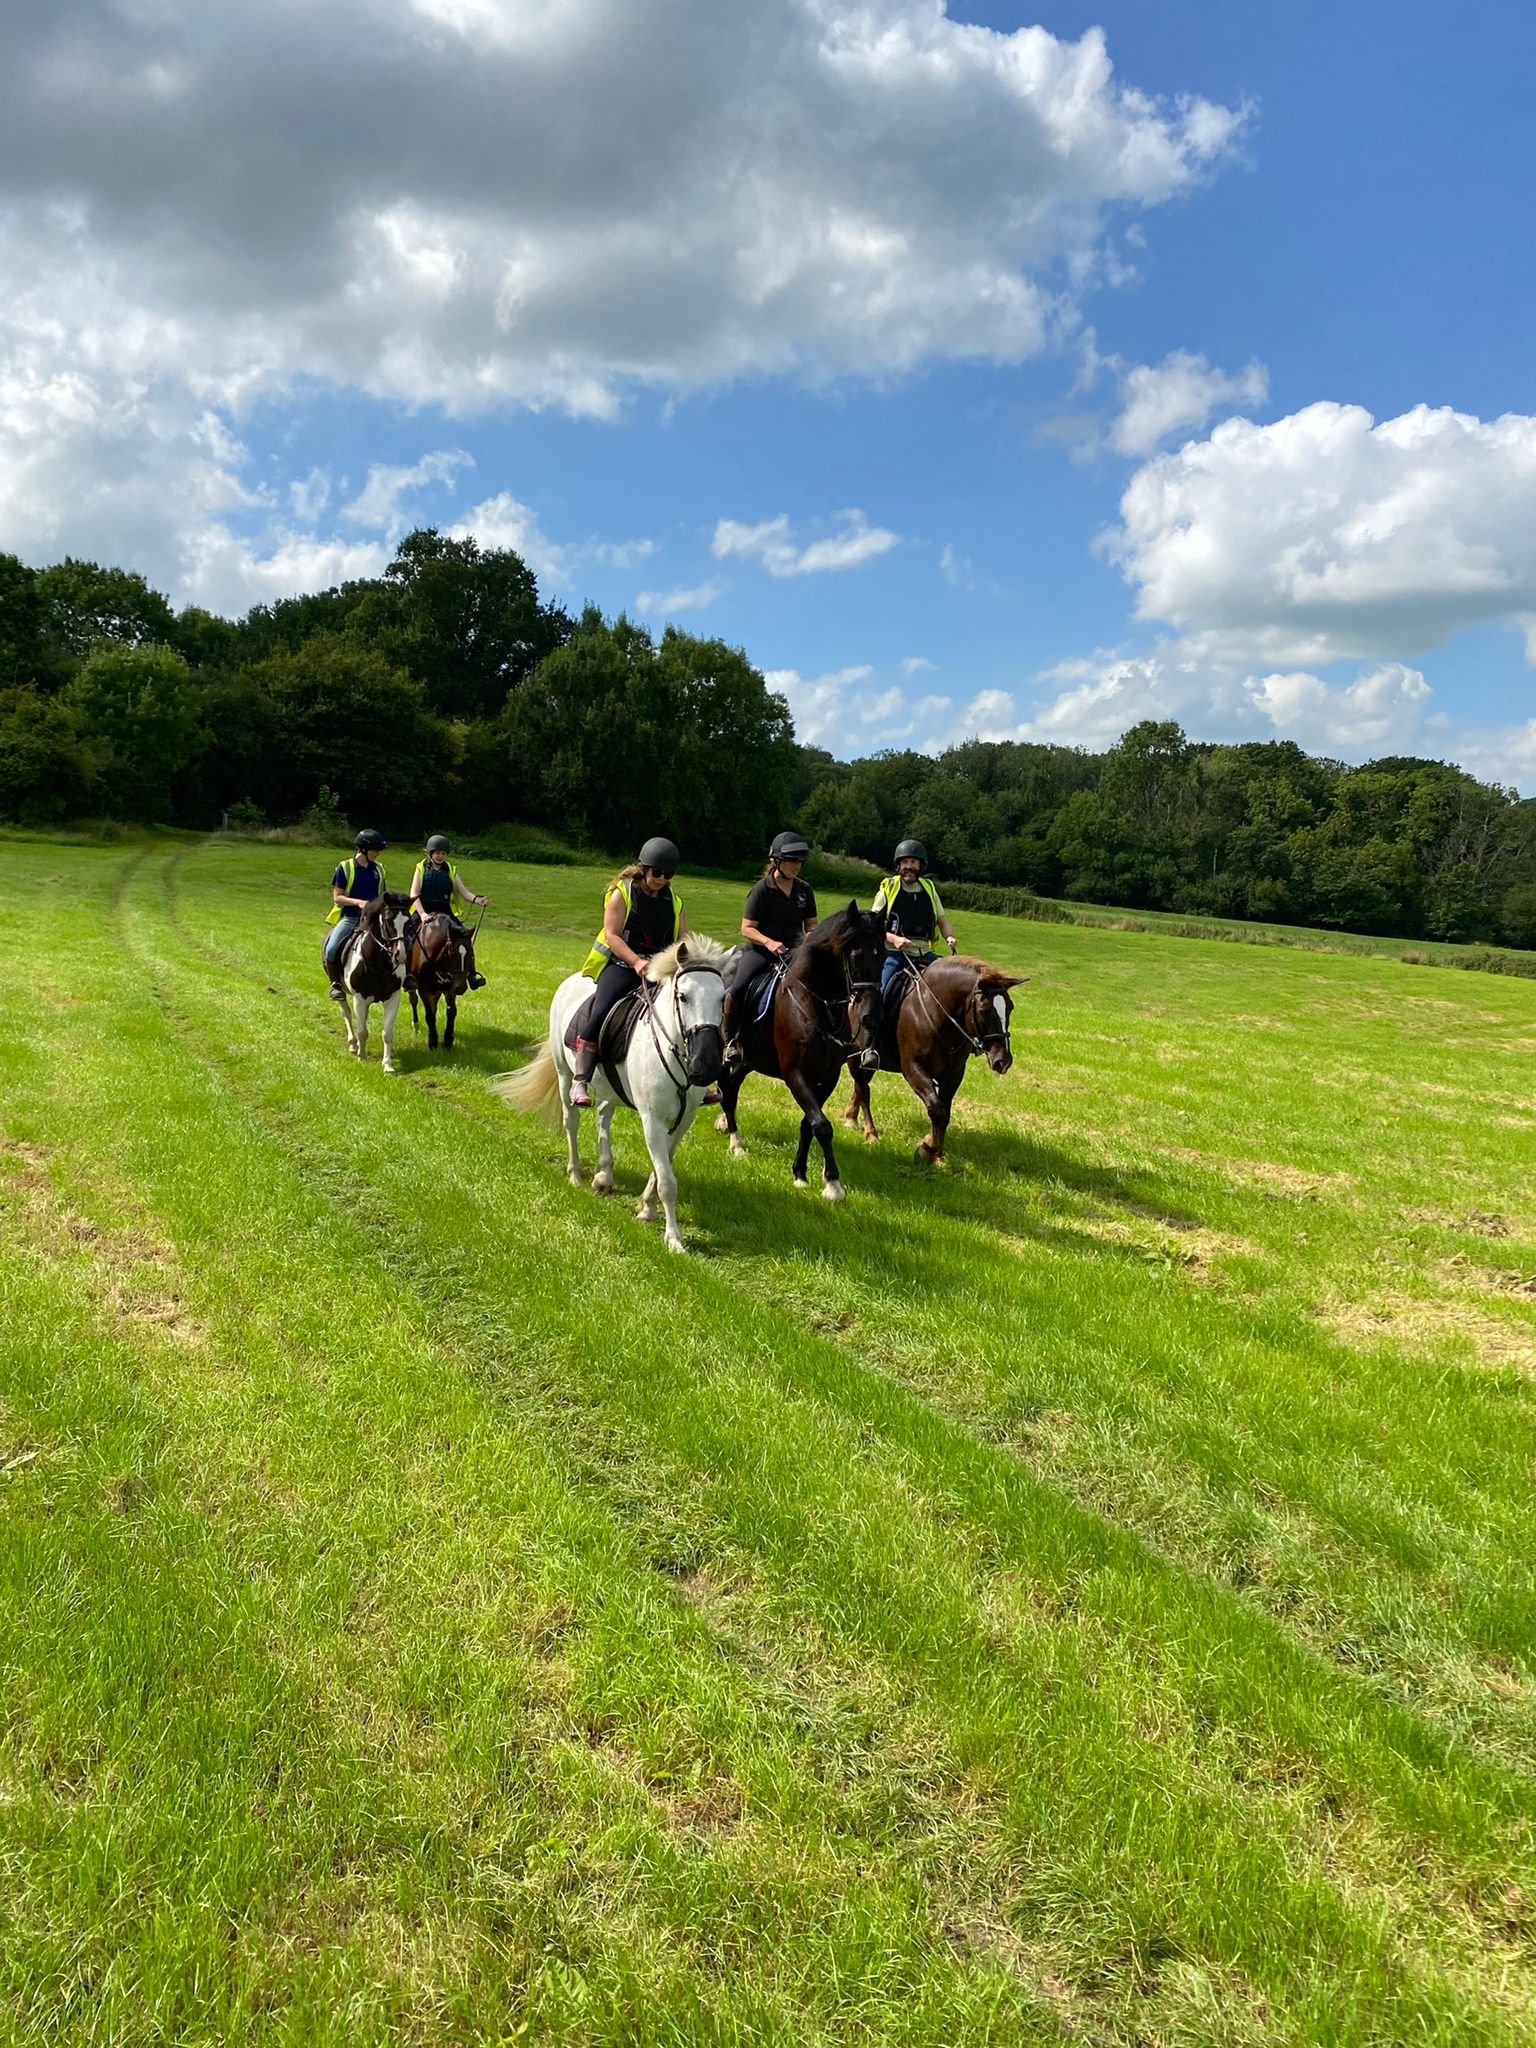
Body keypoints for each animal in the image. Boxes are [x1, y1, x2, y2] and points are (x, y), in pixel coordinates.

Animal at [495, 937, 729, 1253]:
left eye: (722, 998)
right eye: (683, 997)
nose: (706, 1065)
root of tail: (572, 980)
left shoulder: (683, 1120)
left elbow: (661, 1169)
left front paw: (647, 1208)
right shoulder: (652, 1120)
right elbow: (667, 1181)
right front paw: (673, 1238)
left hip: (610, 1089)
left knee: (603, 1116)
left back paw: (604, 1175)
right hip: (564, 1074)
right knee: (572, 1121)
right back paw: (575, 1174)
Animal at [716, 901, 884, 1196]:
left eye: (884, 956)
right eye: (856, 956)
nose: (870, 1018)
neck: (814, 1002)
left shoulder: (828, 1076)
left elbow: (810, 1124)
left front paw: (801, 1174)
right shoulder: (796, 1075)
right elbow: (822, 1125)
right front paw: (833, 1184)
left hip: (748, 1062)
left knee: (731, 1091)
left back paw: (734, 1138)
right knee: (725, 1093)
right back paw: (736, 1144)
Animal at [847, 950, 1028, 1163]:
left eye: (1010, 1007)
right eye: (984, 1011)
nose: (1003, 1060)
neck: (936, 1012)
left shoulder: (954, 1074)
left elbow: (945, 1111)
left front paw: (938, 1155)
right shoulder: (914, 1069)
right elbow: (936, 1108)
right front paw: (927, 1148)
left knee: (860, 1087)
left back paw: (851, 1117)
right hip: (855, 1056)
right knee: (863, 1090)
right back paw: (871, 1133)